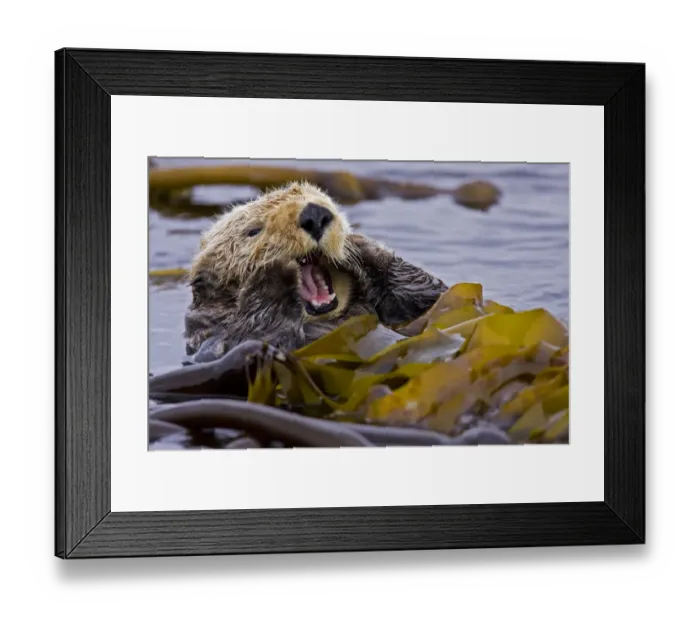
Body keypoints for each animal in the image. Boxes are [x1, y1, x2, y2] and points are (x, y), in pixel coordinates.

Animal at [183, 181, 448, 362]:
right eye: (253, 231)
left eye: (325, 203)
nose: (314, 214)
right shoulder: (215, 336)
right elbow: (259, 340)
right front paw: (274, 271)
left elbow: (432, 293)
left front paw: (359, 246)